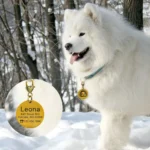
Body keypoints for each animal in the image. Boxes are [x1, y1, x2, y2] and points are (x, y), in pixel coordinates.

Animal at [62, 2, 150, 150]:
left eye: (82, 34)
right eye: (70, 36)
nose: (67, 46)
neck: (110, 57)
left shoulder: (115, 113)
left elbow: (108, 140)